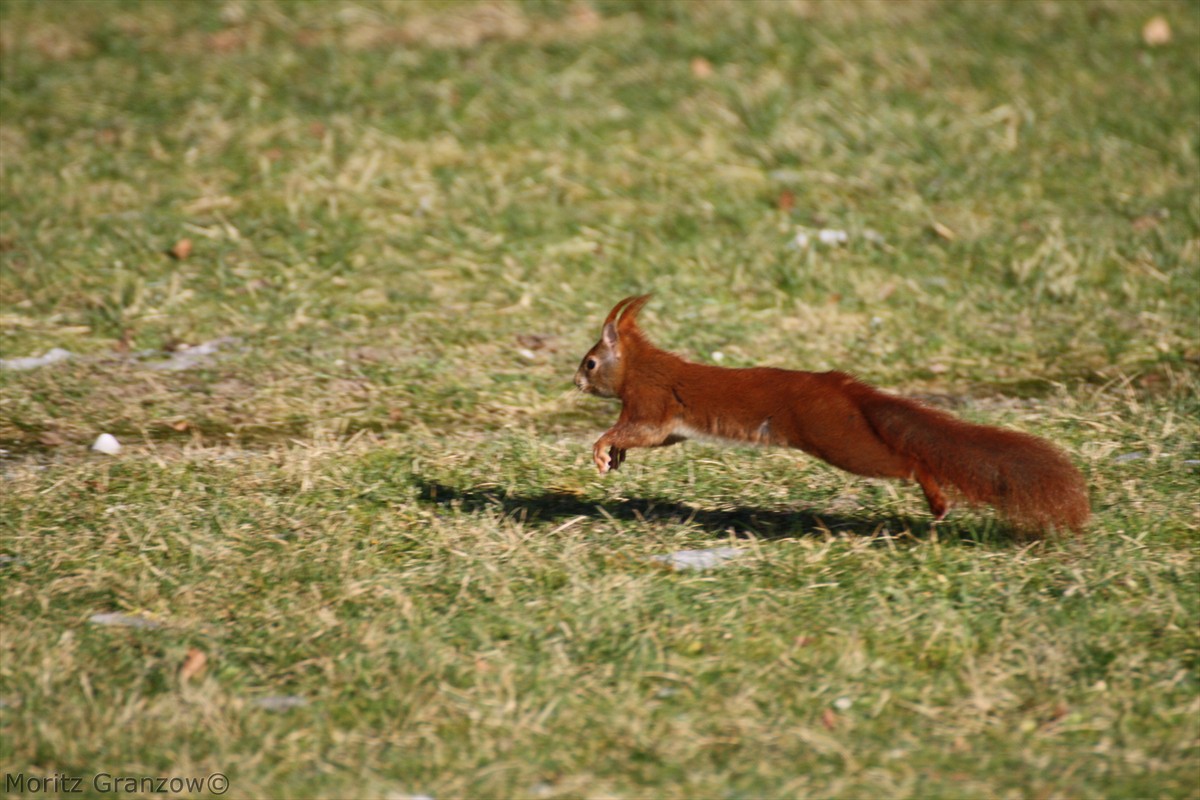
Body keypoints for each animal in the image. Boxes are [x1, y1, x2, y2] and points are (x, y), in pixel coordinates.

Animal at [576, 293, 1094, 532]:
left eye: (590, 362)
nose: (575, 382)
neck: (640, 365)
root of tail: (842, 388)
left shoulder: (651, 400)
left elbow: (637, 429)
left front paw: (602, 449)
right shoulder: (670, 425)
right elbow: (654, 438)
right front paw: (614, 457)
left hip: (838, 438)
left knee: (909, 462)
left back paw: (936, 499)